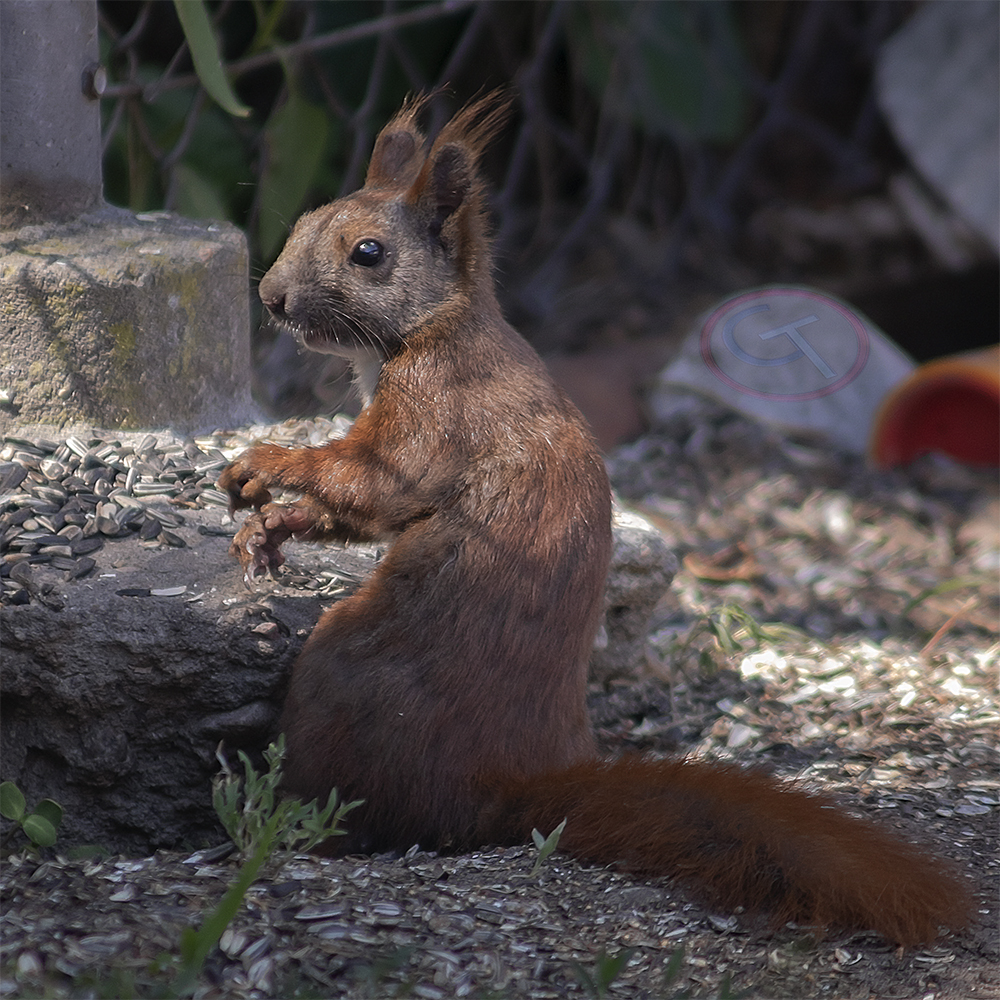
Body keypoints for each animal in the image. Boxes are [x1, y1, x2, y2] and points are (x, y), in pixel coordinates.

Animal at [217, 94, 968, 944]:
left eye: (368, 254)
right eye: (307, 219)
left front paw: (267, 462)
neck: (438, 327)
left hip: (341, 675)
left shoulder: (435, 412)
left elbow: (371, 482)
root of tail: (511, 783)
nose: (273, 298)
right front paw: (269, 529)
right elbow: (359, 513)